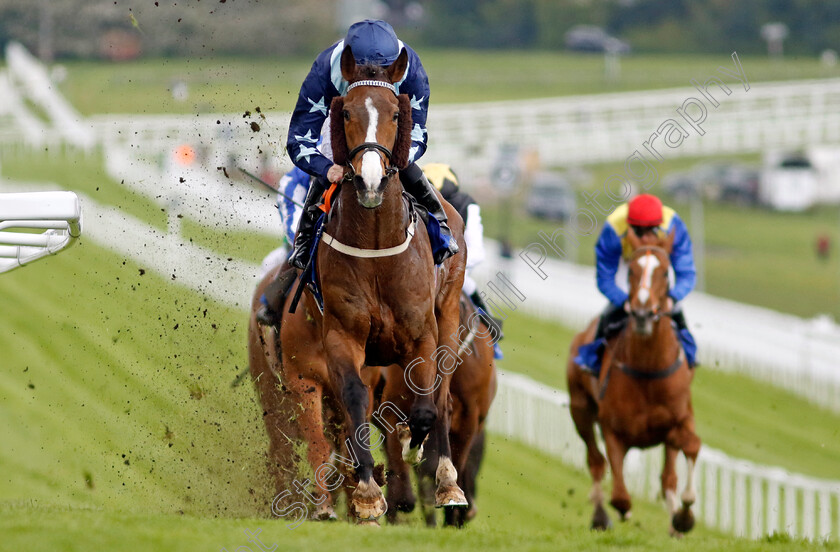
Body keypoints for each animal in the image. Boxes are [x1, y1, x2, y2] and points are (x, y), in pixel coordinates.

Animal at [310, 45, 466, 520]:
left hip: (449, 317)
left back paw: (447, 479)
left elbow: (425, 409)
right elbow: (354, 399)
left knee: (442, 396)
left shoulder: (422, 333)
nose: (371, 180)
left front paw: (416, 447)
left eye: (397, 113)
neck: (377, 248)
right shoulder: (341, 335)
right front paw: (365, 491)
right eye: (345, 112)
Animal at [564, 227, 704, 536]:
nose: (641, 313)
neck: (648, 370)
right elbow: (620, 495)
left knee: (668, 477)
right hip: (580, 410)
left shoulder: (681, 420)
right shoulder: (613, 430)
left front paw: (683, 517)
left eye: (665, 273)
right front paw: (618, 511)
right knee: (595, 462)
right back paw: (601, 515)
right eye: (631, 272)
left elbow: (690, 448)